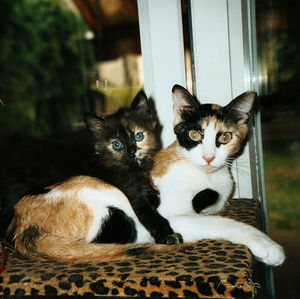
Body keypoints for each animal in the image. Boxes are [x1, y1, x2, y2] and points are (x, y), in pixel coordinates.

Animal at [0, 91, 180, 246]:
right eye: (117, 144)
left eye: (138, 136)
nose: (132, 152)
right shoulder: (129, 192)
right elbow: (149, 213)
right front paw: (167, 234)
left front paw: (152, 192)